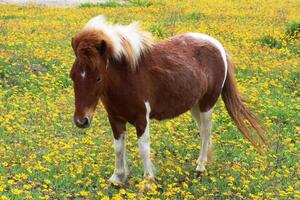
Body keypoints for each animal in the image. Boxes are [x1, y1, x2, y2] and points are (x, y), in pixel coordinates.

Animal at [69, 16, 268, 184]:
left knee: (206, 131)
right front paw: (118, 177)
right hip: (195, 105)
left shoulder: (142, 119)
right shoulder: (115, 119)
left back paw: (201, 167)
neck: (127, 76)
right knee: (202, 131)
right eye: (72, 76)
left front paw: (147, 181)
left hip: (207, 104)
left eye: (98, 78)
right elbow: (118, 148)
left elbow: (144, 149)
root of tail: (217, 44)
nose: (81, 121)